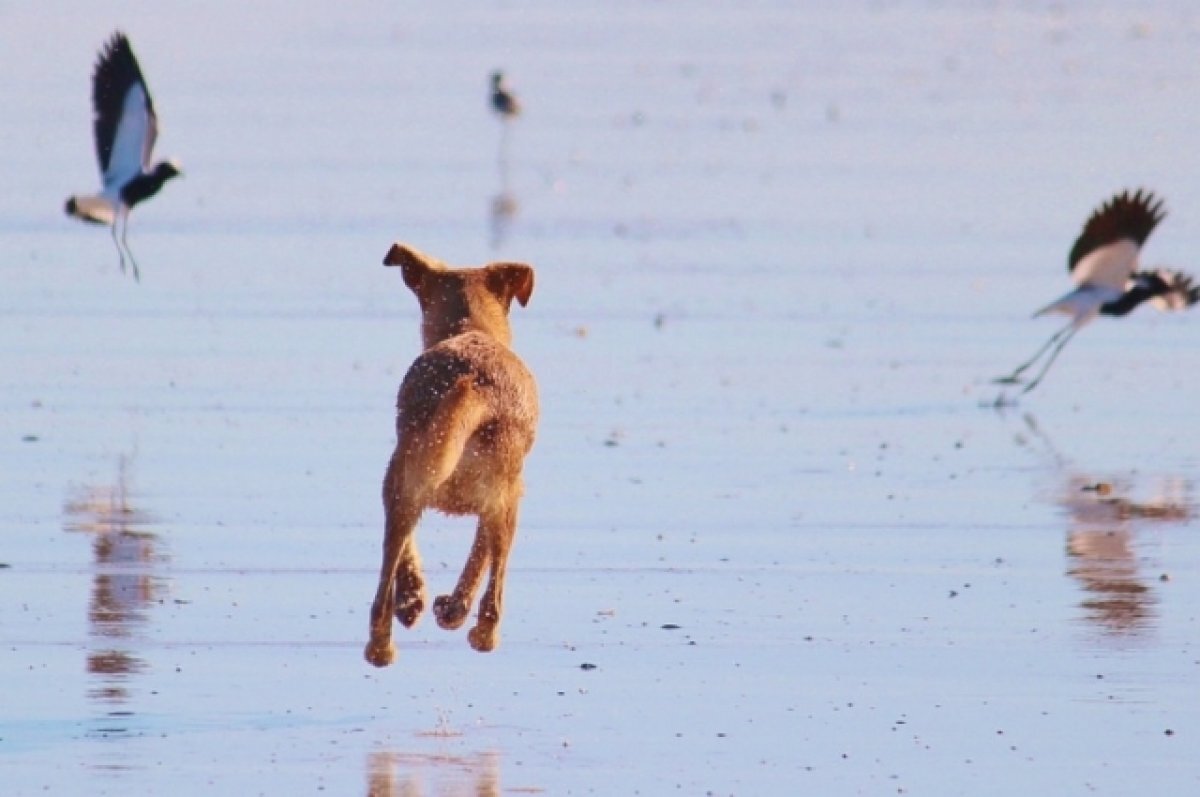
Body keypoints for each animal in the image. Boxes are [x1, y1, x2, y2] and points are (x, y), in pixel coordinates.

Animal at [362, 242, 537, 667]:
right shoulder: (506, 495)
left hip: (406, 476)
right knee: (494, 594)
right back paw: (477, 633)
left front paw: (423, 601)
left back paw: (386, 640)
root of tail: (474, 386)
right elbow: (479, 557)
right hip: (501, 498)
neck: (470, 328)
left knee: (384, 589)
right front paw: (451, 609)